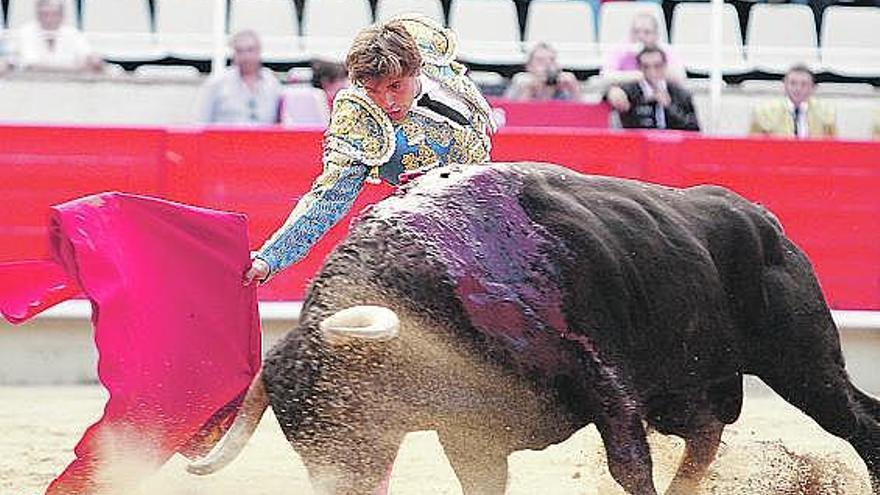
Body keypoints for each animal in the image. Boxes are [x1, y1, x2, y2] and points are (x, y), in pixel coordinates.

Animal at [189, 163, 880, 495]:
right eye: (293, 430)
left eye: (345, 403)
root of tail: (763, 219)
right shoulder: (468, 434)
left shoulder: (607, 387)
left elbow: (629, 468)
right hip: (685, 388)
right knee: (706, 434)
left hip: (803, 364)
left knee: (859, 422)